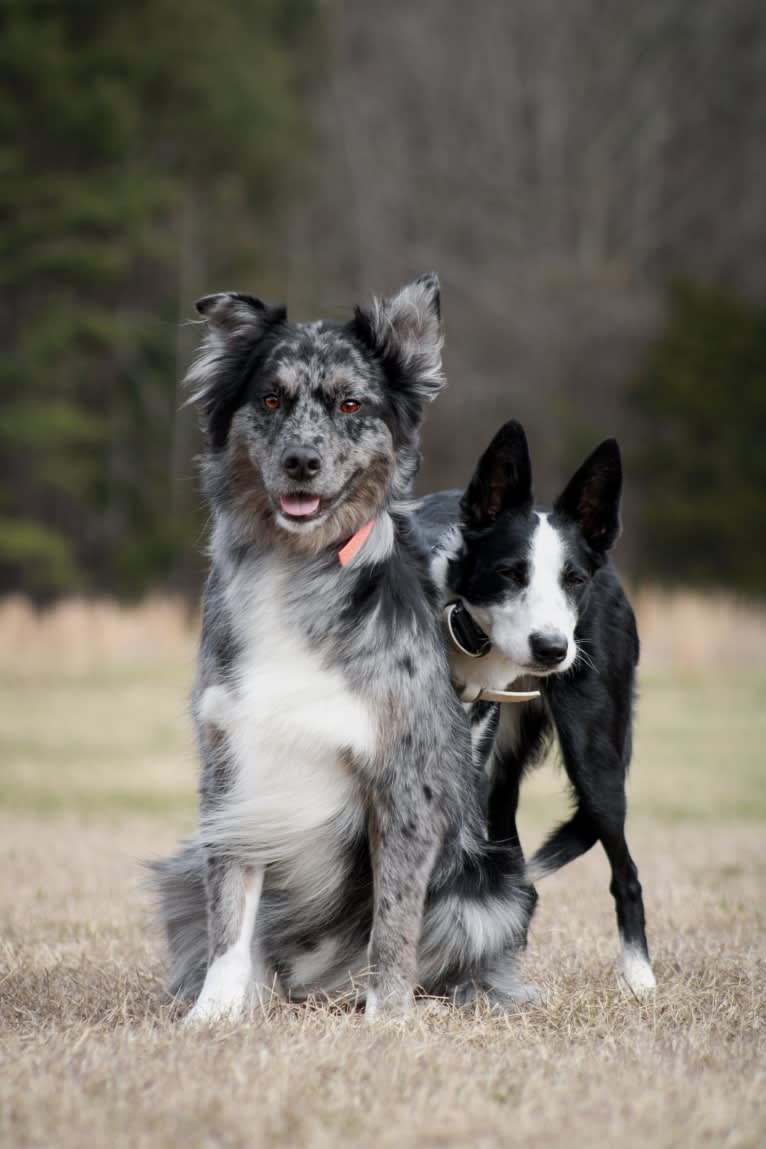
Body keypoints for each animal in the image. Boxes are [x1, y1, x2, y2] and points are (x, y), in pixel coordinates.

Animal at [153, 278, 539, 1024]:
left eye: (352, 405)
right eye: (272, 399)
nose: (302, 462)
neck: (298, 567)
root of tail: (319, 983)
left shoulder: (405, 782)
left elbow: (395, 921)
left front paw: (387, 1018)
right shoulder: (232, 768)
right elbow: (228, 912)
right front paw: (213, 1013)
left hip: (494, 886)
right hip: (181, 866)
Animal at [420, 418, 661, 992]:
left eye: (572, 580)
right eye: (511, 573)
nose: (552, 649)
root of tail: (612, 571)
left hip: (596, 762)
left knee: (626, 874)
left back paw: (639, 977)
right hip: (498, 780)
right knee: (516, 883)